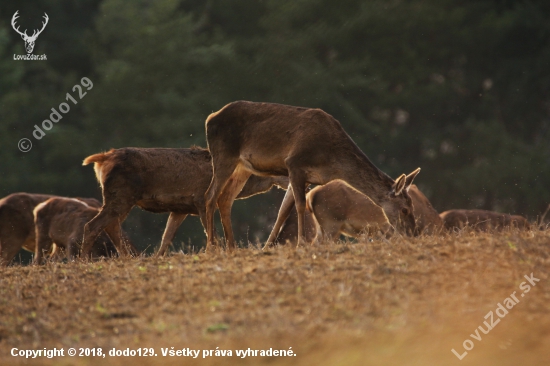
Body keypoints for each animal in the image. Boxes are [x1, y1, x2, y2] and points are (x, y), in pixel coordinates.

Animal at [82, 147, 292, 258]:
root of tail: (102, 159)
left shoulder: (180, 209)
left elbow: (166, 237)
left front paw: (158, 258)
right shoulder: (200, 200)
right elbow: (212, 233)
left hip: (121, 199)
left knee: (110, 226)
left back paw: (127, 257)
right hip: (122, 196)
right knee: (93, 225)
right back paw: (84, 259)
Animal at [205, 100, 420, 250]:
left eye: (412, 206)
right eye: (404, 209)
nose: (413, 234)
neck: (333, 162)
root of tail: (210, 118)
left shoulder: (304, 177)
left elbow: (283, 211)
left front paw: (266, 247)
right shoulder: (294, 163)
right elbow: (300, 206)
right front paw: (301, 243)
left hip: (243, 167)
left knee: (225, 199)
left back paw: (231, 248)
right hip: (224, 154)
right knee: (210, 196)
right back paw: (212, 247)